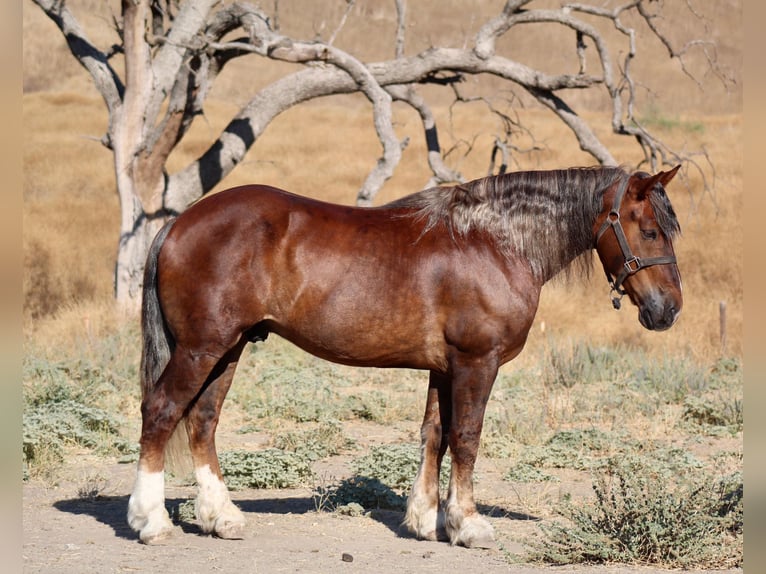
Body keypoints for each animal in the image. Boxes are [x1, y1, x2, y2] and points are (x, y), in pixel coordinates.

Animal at [126, 165, 684, 548]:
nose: (669, 309)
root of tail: (179, 223)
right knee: (161, 412)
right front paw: (469, 524)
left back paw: (222, 518)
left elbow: (434, 435)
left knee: (202, 421)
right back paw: (150, 521)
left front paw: (425, 520)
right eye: (649, 230)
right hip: (202, 348)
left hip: (229, 348)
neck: (494, 242)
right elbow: (466, 438)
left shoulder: (444, 368)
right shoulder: (476, 363)